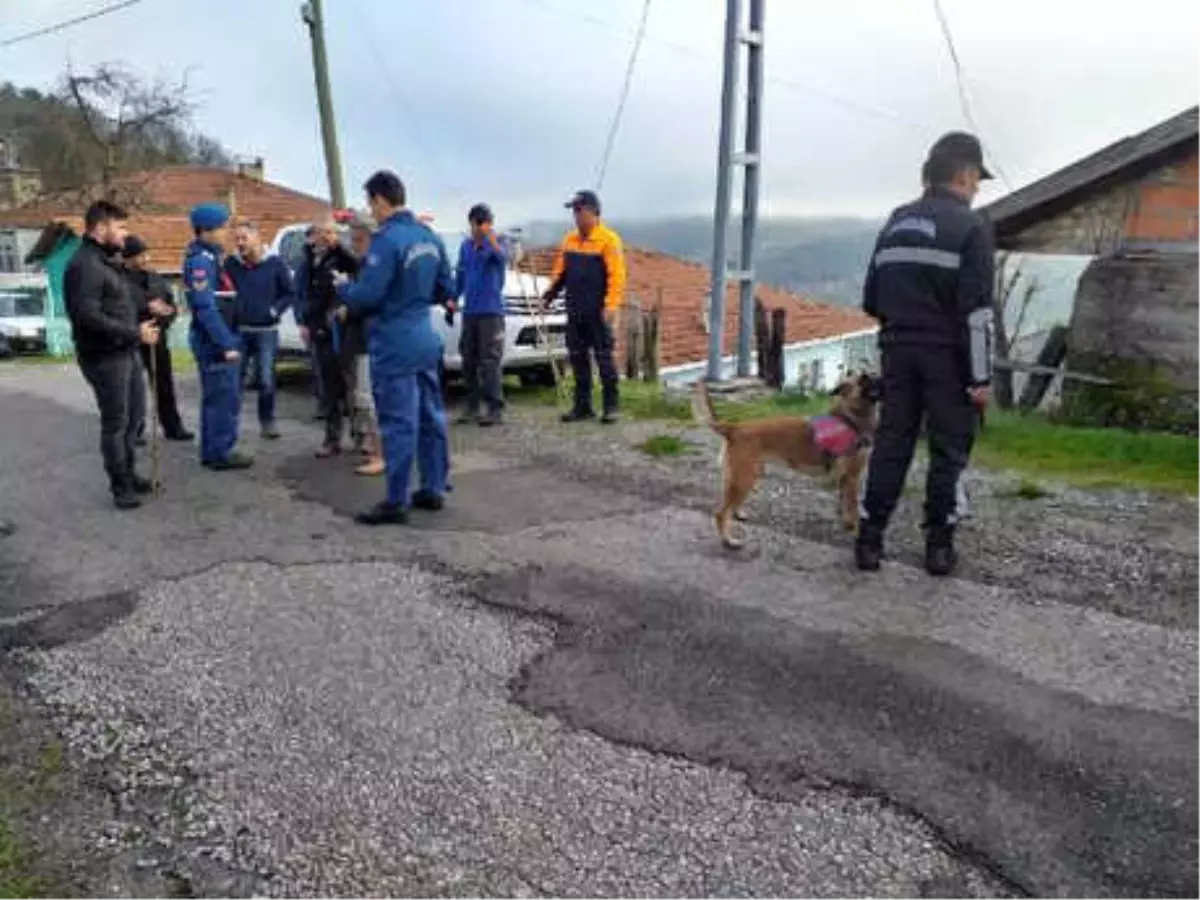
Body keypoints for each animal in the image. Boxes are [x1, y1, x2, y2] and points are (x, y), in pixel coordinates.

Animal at [696, 374, 883, 549]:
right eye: (863, 379)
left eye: (871, 376)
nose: (879, 378)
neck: (849, 418)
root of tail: (735, 428)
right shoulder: (852, 478)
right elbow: (853, 509)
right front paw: (858, 533)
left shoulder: (844, 479)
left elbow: (844, 506)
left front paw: (847, 525)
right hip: (744, 479)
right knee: (721, 513)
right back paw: (729, 540)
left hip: (747, 476)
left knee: (730, 506)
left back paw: (738, 514)